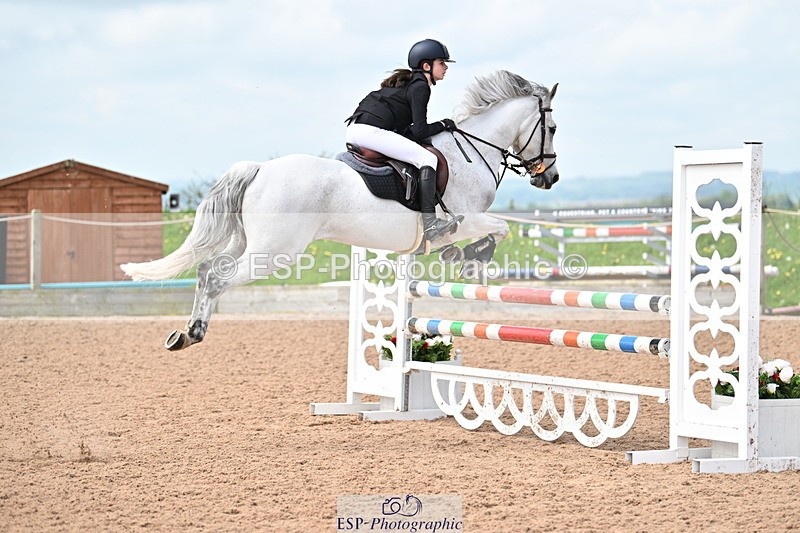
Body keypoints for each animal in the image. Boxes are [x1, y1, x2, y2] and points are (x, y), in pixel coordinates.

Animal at [121, 70, 560, 350]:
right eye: (552, 129)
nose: (550, 178)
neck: (474, 150)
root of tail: (260, 168)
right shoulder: (464, 219)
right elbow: (498, 228)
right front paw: (471, 257)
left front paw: (460, 256)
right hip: (275, 252)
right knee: (217, 275)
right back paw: (193, 333)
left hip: (251, 243)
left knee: (207, 268)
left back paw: (185, 334)